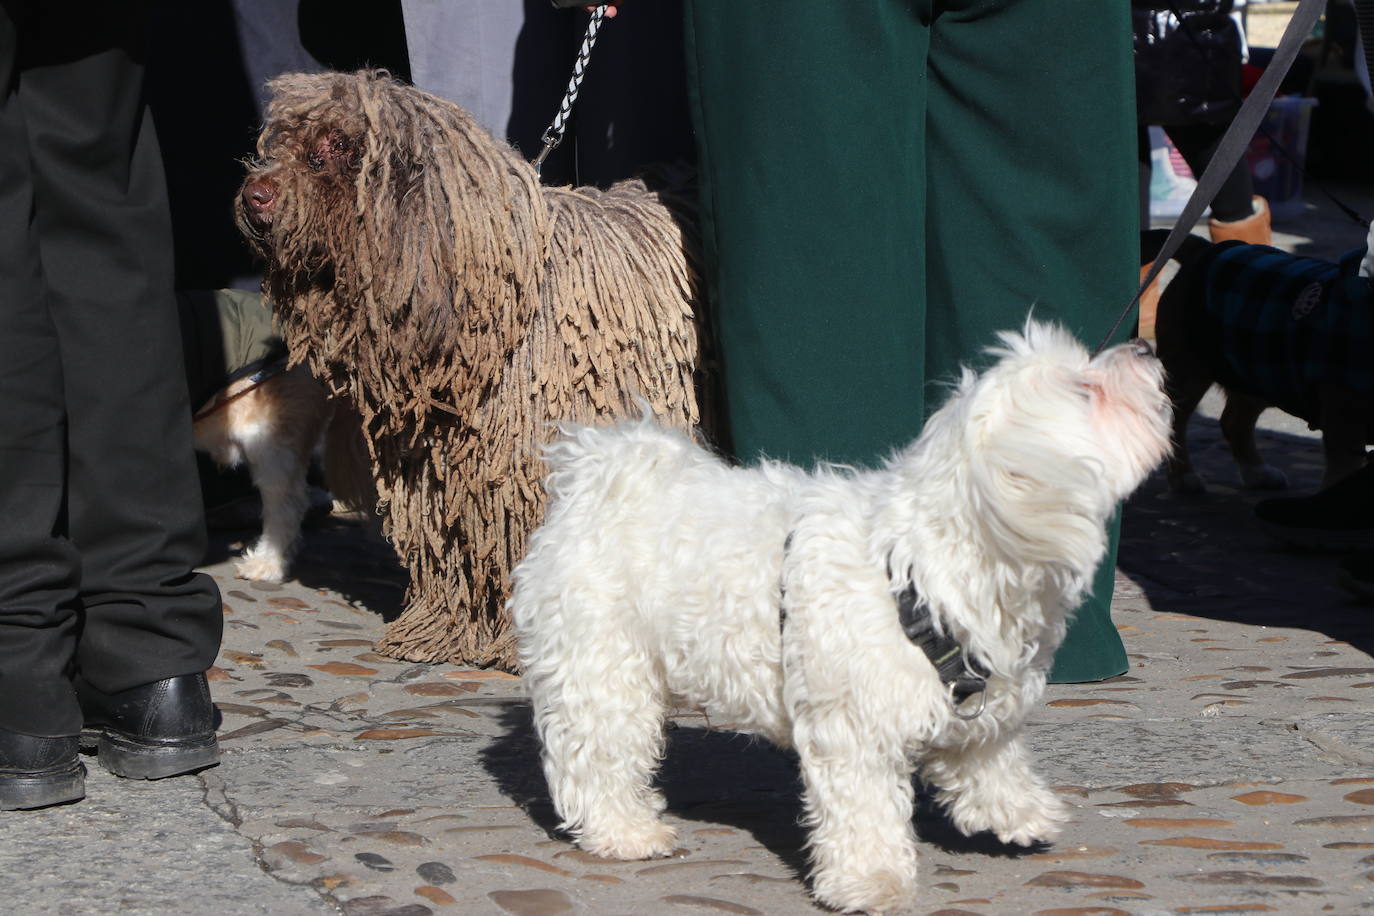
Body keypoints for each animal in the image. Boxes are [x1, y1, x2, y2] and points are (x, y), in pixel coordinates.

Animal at [1148, 230, 1374, 494]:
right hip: (1188, 371)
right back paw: (1183, 476)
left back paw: (1256, 472)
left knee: (1234, 421)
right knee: (1177, 421)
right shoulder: (1344, 421)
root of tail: (1204, 249)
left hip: (1258, 372)